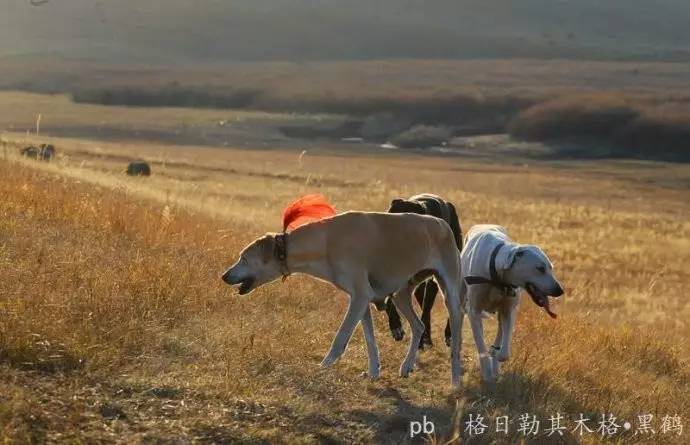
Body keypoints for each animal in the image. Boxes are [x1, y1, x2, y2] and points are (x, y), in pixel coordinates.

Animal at [460, 224, 560, 380]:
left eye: (551, 268)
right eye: (540, 268)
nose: (559, 290)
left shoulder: (508, 311)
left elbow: (504, 351)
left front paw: (496, 357)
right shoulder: (474, 312)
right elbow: (481, 345)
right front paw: (487, 373)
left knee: (500, 333)